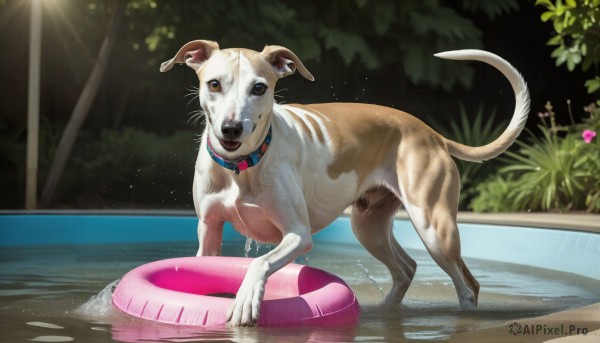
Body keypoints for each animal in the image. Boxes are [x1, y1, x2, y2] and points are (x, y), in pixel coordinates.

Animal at [161, 40, 528, 328]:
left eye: (259, 88)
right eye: (214, 84)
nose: (231, 129)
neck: (243, 166)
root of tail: (431, 133)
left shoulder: (298, 235)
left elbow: (260, 262)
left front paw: (246, 299)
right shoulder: (209, 229)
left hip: (434, 228)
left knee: (467, 284)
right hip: (368, 225)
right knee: (406, 268)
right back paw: (381, 312)